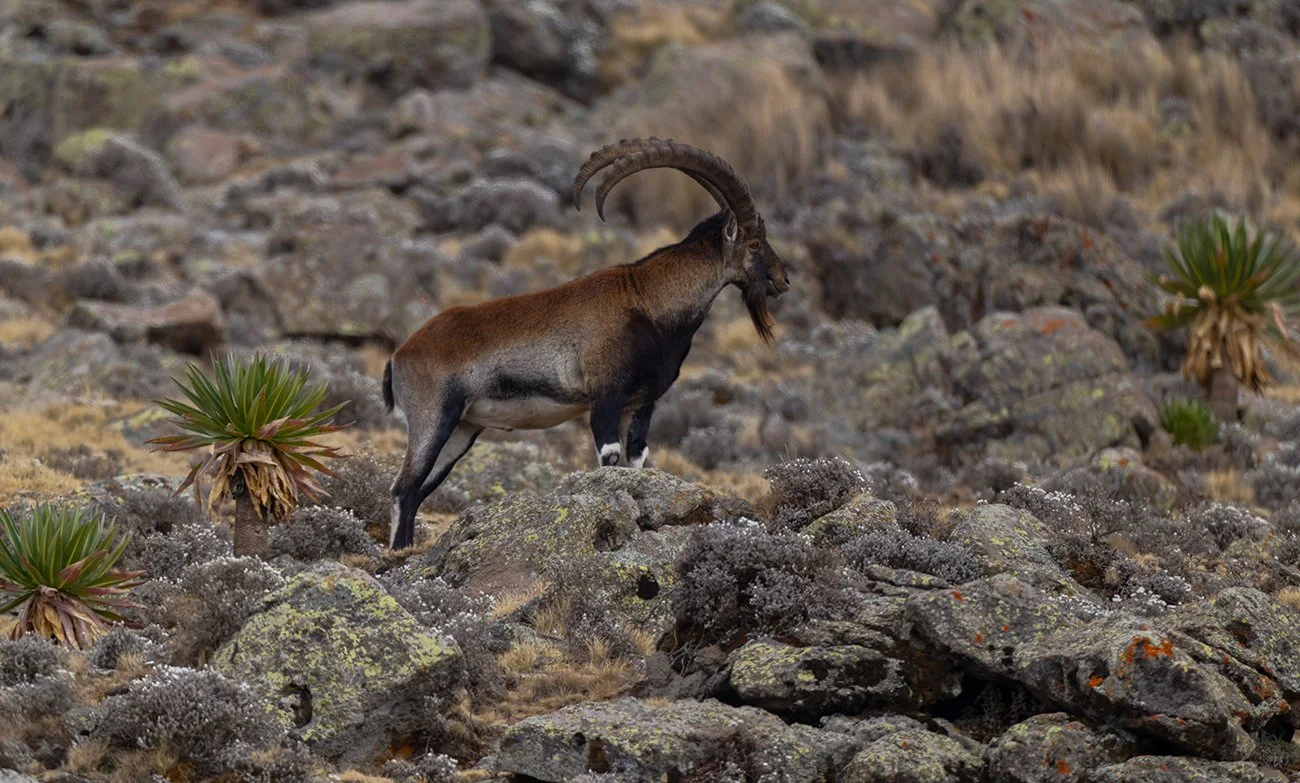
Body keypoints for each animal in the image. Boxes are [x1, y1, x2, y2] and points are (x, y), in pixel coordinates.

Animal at [380, 137, 790, 549]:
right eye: (755, 243)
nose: (783, 280)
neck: (647, 302)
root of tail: (400, 355)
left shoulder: (641, 404)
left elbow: (636, 461)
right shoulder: (604, 397)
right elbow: (608, 460)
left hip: (462, 430)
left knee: (416, 492)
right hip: (433, 419)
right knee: (403, 488)